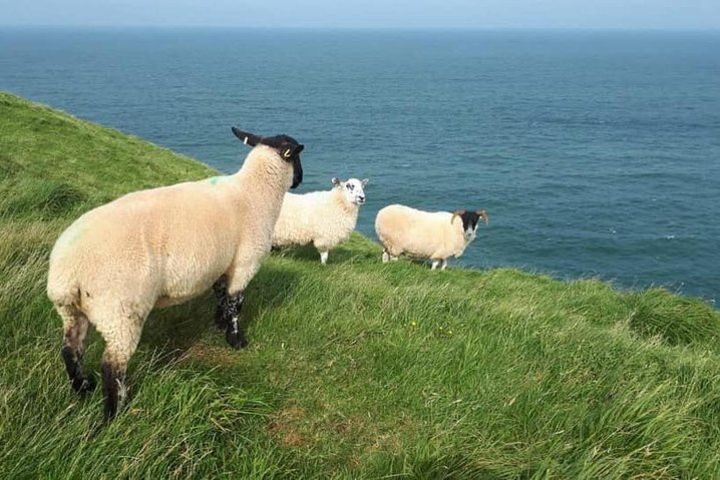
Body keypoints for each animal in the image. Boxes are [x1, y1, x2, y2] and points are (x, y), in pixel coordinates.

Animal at [45, 127, 304, 420]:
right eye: (297, 156)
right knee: (112, 367)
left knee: (70, 349)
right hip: (120, 312)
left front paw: (219, 323)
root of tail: (68, 269)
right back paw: (113, 414)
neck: (255, 193)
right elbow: (236, 303)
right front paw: (236, 339)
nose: (300, 179)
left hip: (71, 310)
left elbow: (221, 295)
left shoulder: (221, 264)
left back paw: (83, 387)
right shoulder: (244, 264)